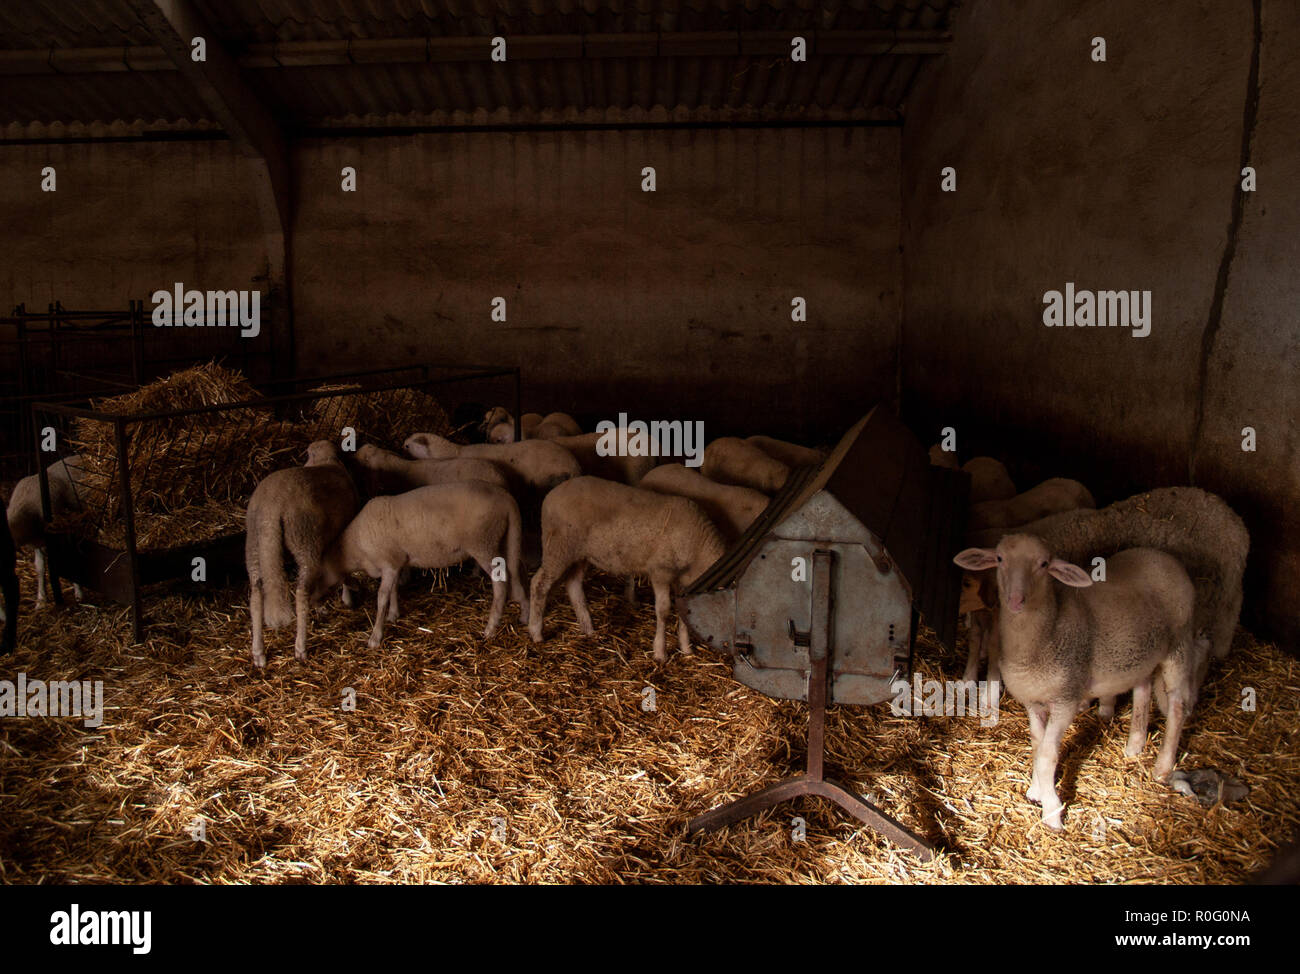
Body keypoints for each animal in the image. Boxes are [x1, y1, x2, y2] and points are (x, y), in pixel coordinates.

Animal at [6, 455, 87, 606]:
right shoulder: (37, 542)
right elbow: (40, 567)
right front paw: (41, 598)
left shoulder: (63, 532)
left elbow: (71, 559)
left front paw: (79, 593)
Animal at [245, 441, 359, 668]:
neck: (325, 461)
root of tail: (271, 506)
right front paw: (347, 598)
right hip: (304, 539)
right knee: (301, 592)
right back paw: (301, 647)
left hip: (254, 543)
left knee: (256, 593)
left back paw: (258, 653)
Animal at [316, 480, 528, 647]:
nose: (317, 605)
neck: (355, 547)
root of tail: (506, 498)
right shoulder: (396, 563)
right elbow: (393, 590)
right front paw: (394, 615)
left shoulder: (388, 563)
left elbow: (382, 597)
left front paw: (375, 637)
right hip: (505, 538)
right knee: (516, 572)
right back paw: (524, 614)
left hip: (483, 542)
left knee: (501, 583)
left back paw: (490, 628)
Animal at [528, 477, 726, 662]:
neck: (699, 548)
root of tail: (552, 494)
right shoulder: (660, 570)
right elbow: (663, 610)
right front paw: (660, 653)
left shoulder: (683, 579)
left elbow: (684, 610)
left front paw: (686, 648)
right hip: (559, 546)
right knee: (539, 584)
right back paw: (536, 632)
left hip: (580, 554)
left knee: (573, 584)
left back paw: (588, 628)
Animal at [955, 533, 1197, 830]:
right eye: (1000, 558)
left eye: (1044, 564)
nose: (1015, 600)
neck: (1048, 633)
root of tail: (1162, 556)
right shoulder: (1033, 701)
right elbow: (1037, 745)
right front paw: (1037, 791)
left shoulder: (1065, 699)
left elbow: (1048, 755)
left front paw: (1052, 812)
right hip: (1143, 653)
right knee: (1143, 687)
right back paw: (1134, 745)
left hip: (1179, 644)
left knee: (1177, 706)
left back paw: (1162, 767)